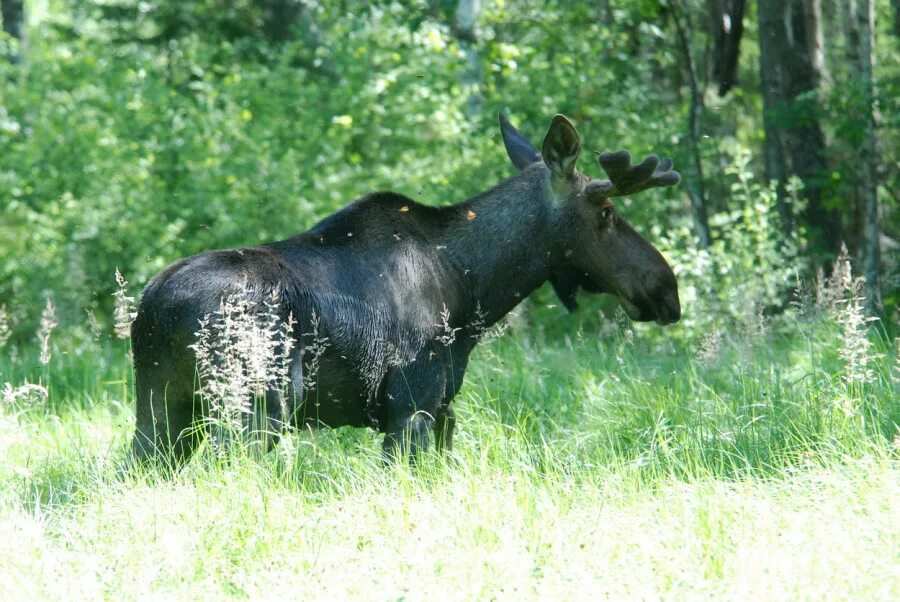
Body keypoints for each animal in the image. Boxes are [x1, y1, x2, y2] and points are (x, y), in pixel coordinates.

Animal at [130, 112, 684, 464]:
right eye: (606, 212)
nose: (666, 288)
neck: (476, 287)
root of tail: (155, 309)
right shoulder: (410, 406)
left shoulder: (439, 410)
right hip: (251, 405)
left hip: (160, 410)